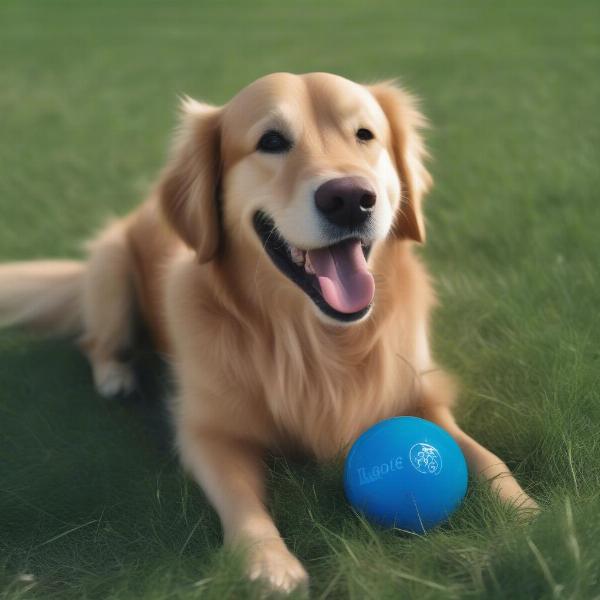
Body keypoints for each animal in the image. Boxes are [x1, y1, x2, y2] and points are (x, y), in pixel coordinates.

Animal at [0, 74, 536, 592]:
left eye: (365, 135)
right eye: (271, 141)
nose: (350, 199)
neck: (316, 340)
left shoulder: (420, 393)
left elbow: (486, 458)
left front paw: (529, 515)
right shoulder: (206, 431)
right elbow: (242, 501)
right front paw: (270, 564)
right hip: (110, 271)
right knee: (95, 343)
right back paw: (116, 376)